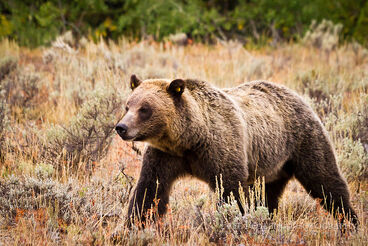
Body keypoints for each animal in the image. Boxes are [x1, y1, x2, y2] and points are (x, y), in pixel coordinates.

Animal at [116, 74, 358, 230]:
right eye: (128, 106)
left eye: (145, 109)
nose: (121, 127)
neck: (189, 139)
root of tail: (295, 94)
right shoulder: (165, 156)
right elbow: (150, 190)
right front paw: (134, 226)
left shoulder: (220, 148)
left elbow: (231, 191)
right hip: (271, 167)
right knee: (267, 197)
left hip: (302, 140)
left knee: (324, 180)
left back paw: (350, 221)